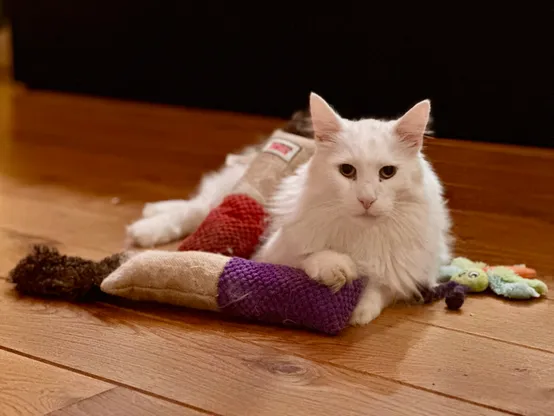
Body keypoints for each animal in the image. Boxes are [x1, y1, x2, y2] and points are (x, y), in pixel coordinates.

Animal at [125, 93, 448, 324]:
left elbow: (380, 287)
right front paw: (336, 269)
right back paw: (146, 227)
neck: (360, 233)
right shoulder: (273, 252)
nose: (366, 200)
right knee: (197, 207)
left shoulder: (411, 271)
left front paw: (358, 310)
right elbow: (312, 256)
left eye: (387, 173)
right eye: (347, 171)